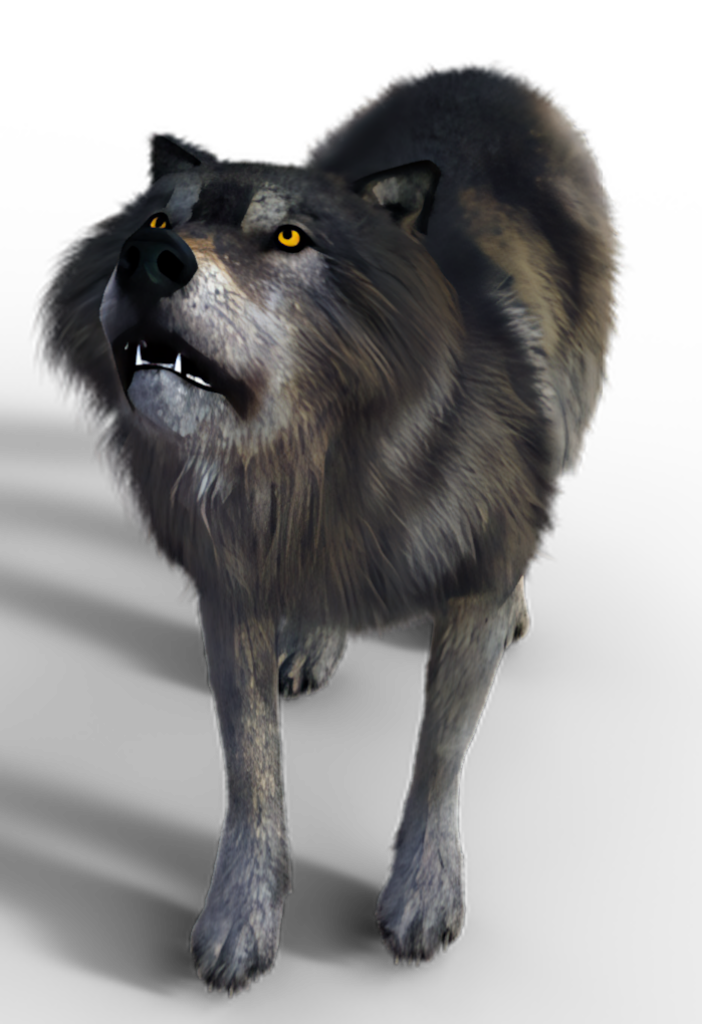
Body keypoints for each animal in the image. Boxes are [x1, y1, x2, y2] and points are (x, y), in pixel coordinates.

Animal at [32, 64, 623, 994]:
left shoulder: (467, 596)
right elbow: (251, 773)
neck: (314, 477)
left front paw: (423, 896)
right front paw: (239, 922)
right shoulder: (231, 598)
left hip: (570, 404)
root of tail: (483, 72)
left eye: (288, 238)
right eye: (160, 219)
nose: (151, 260)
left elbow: (440, 755)